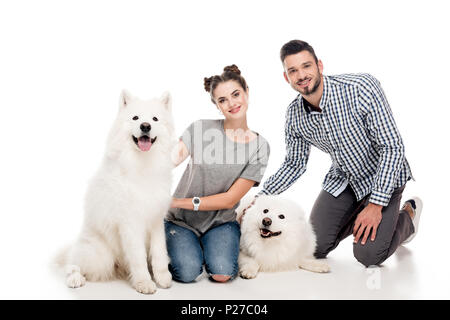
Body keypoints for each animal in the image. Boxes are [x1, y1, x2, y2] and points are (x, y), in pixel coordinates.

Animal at [58, 90, 174, 296]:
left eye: (155, 119)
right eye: (135, 118)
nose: (145, 126)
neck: (143, 165)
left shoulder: (155, 221)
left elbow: (160, 252)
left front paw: (163, 278)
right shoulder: (130, 224)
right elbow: (138, 257)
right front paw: (144, 282)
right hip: (98, 256)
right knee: (72, 265)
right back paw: (75, 279)